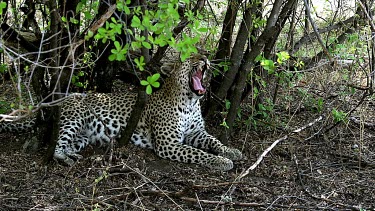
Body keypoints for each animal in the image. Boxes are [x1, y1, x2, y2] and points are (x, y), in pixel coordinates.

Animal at [0, 54, 244, 170]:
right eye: (188, 58)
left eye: (200, 55)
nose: (205, 58)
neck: (191, 100)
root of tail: (61, 99)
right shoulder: (169, 144)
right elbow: (199, 153)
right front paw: (222, 162)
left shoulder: (196, 133)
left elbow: (214, 141)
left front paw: (232, 152)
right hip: (74, 118)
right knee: (56, 145)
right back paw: (66, 159)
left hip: (83, 135)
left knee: (67, 143)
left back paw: (73, 156)